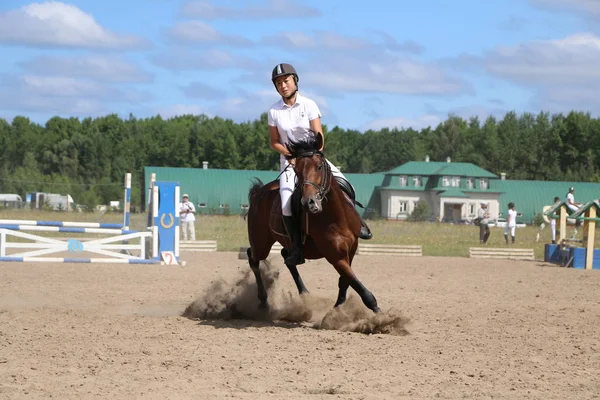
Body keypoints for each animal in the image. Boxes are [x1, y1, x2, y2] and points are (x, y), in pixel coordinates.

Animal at [245, 134, 380, 316]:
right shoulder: (335, 256)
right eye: (297, 170)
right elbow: (356, 284)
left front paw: (338, 309)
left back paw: (304, 293)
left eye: (319, 166)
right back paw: (263, 300)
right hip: (261, 243)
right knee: (253, 258)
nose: (309, 202)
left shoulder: (351, 250)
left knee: (286, 257)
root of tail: (258, 193)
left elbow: (345, 281)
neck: (336, 217)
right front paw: (379, 312)